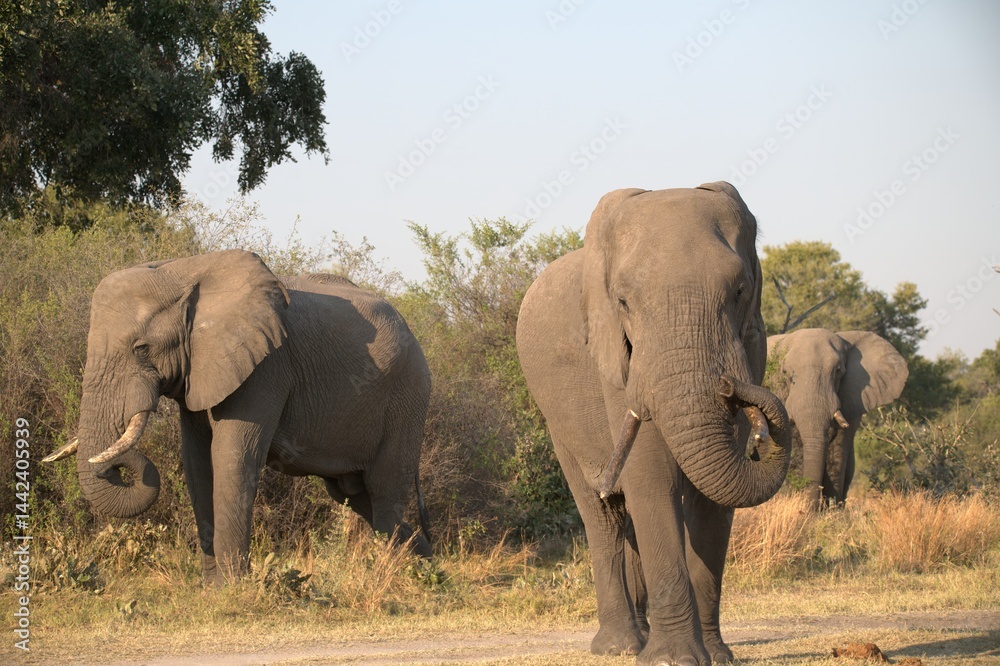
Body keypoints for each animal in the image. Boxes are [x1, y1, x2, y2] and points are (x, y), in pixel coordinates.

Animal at [43, 249, 432, 584]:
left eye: (141, 348)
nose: (121, 466)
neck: (183, 271)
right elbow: (197, 462)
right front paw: (212, 589)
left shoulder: (266, 367)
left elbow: (233, 458)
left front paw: (233, 588)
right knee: (353, 494)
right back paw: (426, 562)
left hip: (407, 395)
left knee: (383, 491)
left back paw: (396, 575)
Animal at [516, 182, 792, 665]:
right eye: (624, 302)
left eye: (740, 291)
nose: (728, 383)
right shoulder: (615, 359)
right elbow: (650, 477)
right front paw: (672, 659)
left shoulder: (752, 348)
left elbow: (713, 495)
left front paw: (716, 656)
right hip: (557, 424)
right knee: (603, 515)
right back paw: (620, 646)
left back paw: (640, 640)